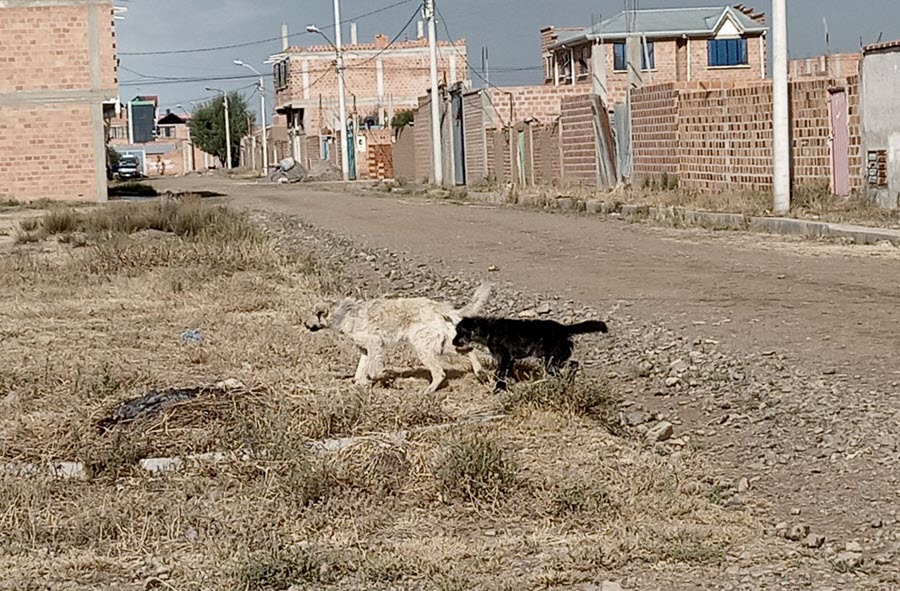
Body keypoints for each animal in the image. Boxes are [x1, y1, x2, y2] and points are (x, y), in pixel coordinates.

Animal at [310, 284, 492, 396]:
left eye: (314, 314)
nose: (305, 325)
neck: (344, 313)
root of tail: (438, 307)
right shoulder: (365, 350)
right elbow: (360, 371)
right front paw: (361, 383)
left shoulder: (374, 345)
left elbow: (374, 369)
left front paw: (383, 378)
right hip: (443, 344)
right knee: (469, 350)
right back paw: (480, 373)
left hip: (424, 348)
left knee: (439, 372)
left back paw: (429, 390)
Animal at [454, 316, 608, 390]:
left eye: (461, 332)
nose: (453, 342)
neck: (489, 330)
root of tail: (563, 328)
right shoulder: (510, 360)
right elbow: (505, 373)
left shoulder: (505, 358)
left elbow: (500, 374)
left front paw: (499, 388)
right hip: (555, 359)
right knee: (574, 364)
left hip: (551, 361)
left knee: (570, 366)